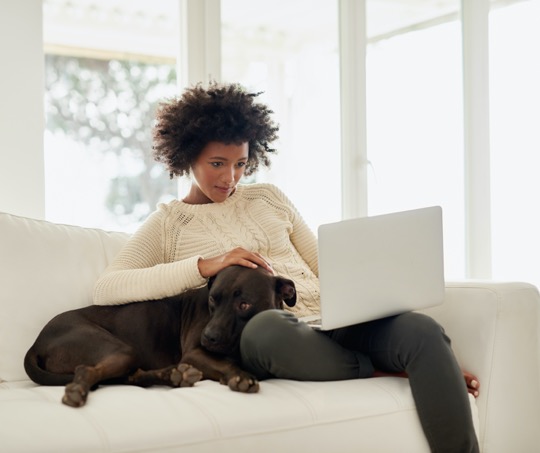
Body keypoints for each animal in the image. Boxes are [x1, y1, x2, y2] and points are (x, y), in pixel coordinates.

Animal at [24, 264, 296, 406]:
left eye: (244, 304)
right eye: (212, 299)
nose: (208, 337)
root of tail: (36, 343)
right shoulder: (195, 355)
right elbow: (225, 363)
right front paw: (240, 376)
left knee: (130, 377)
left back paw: (174, 376)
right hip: (120, 349)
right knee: (89, 371)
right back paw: (77, 392)